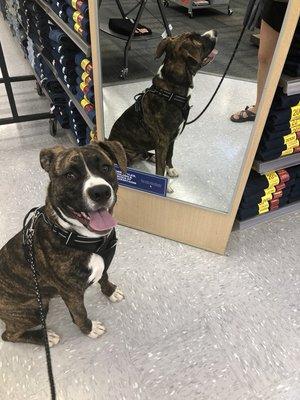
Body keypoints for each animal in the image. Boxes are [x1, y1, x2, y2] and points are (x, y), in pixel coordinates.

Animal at [0, 141, 126, 346]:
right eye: (70, 175)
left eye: (106, 168)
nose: (100, 192)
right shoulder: (71, 293)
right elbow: (80, 315)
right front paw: (90, 329)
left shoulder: (104, 265)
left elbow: (104, 277)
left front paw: (111, 291)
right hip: (35, 308)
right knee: (9, 335)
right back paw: (46, 337)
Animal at [109, 30, 217, 186]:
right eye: (197, 39)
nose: (215, 32)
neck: (171, 92)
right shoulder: (162, 142)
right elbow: (160, 169)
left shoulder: (171, 139)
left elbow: (169, 156)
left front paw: (170, 169)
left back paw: (152, 157)